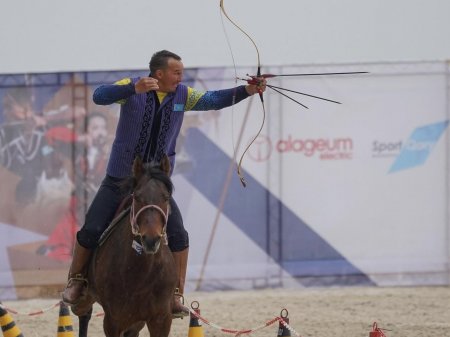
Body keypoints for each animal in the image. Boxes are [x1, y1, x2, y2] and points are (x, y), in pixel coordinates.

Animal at [71, 155, 178, 336]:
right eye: (137, 197)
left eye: (166, 197)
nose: (151, 240)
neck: (141, 274)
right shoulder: (113, 320)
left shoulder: (161, 319)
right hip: (86, 298)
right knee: (83, 314)